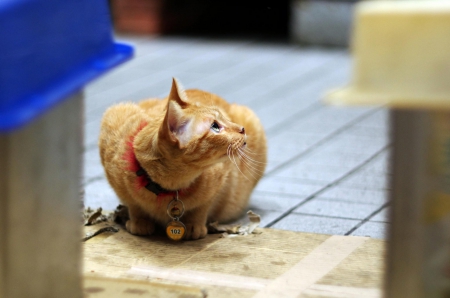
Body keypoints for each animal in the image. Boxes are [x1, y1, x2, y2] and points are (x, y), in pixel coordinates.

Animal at [98, 77, 266, 240]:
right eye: (215, 126)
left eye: (225, 118)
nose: (242, 129)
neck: (168, 188)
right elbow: (134, 205)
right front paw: (139, 222)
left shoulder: (219, 181)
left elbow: (201, 208)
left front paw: (194, 226)